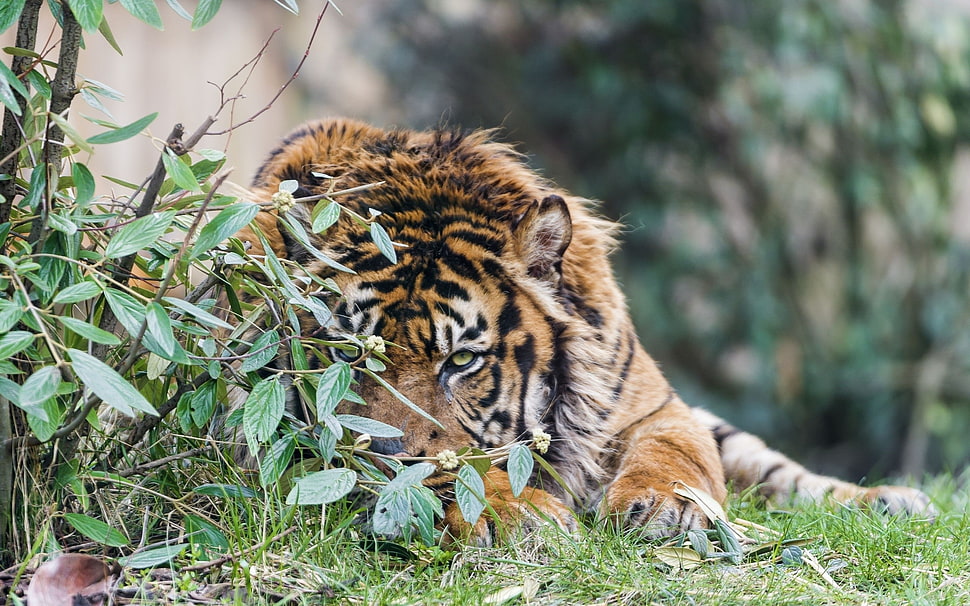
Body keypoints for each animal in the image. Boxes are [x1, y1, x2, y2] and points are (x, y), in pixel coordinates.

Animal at [229, 118, 934, 544]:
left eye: (461, 362)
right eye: (348, 354)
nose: (380, 455)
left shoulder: (650, 407)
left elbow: (677, 452)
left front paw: (670, 506)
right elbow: (452, 471)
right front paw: (519, 511)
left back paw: (894, 501)